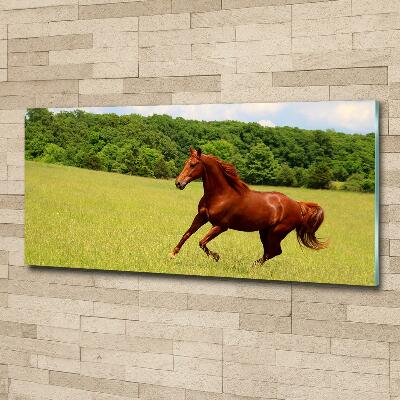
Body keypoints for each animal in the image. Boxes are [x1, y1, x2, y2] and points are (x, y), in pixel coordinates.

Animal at [172, 148, 328, 264]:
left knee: (274, 252)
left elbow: (201, 242)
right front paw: (172, 253)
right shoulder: (201, 217)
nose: (178, 183)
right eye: (186, 162)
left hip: (276, 233)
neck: (221, 195)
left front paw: (217, 257)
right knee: (270, 252)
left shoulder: (220, 226)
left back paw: (252, 267)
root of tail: (297, 205)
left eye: (193, 164)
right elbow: (187, 234)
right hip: (264, 232)